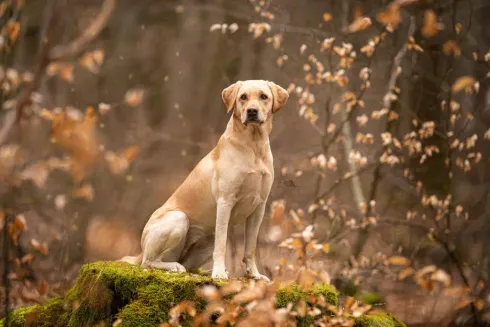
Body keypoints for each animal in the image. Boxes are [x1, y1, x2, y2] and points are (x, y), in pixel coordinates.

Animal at [122, 80, 290, 280]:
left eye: (263, 96)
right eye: (243, 97)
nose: (251, 111)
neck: (253, 146)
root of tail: (140, 251)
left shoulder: (259, 207)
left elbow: (250, 248)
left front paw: (254, 275)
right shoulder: (225, 202)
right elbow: (222, 246)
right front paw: (219, 273)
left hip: (206, 239)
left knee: (188, 265)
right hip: (179, 219)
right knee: (149, 262)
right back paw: (178, 267)